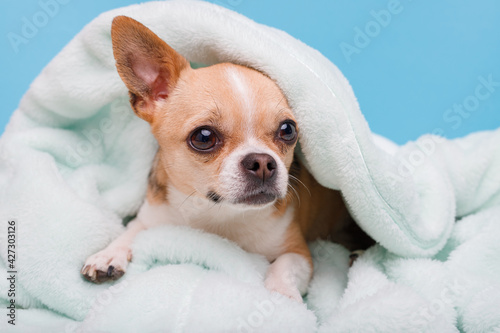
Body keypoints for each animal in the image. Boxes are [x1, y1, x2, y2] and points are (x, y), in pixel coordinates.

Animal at [81, 15, 372, 300]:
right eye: (204, 137)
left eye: (288, 130)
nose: (263, 162)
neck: (219, 215)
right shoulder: (153, 216)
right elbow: (132, 230)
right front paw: (108, 253)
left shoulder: (298, 251)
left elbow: (285, 266)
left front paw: (280, 294)